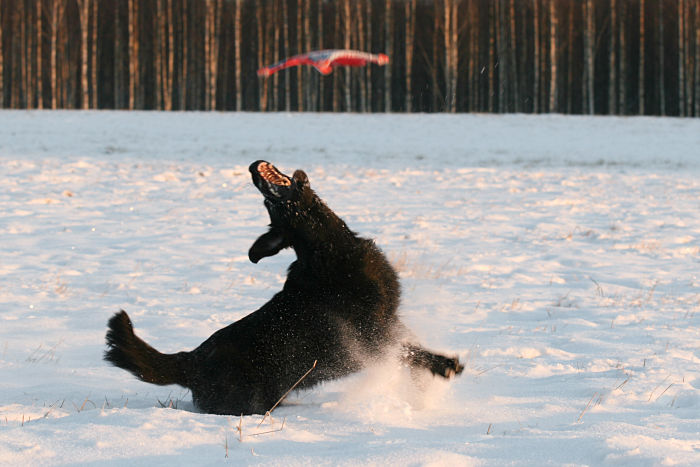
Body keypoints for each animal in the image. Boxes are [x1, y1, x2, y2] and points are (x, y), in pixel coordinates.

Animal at [105, 161, 463, 415]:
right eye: (270, 205)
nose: (252, 170)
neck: (329, 250)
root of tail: (190, 360)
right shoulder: (369, 336)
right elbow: (410, 352)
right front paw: (445, 365)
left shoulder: (390, 323)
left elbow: (410, 349)